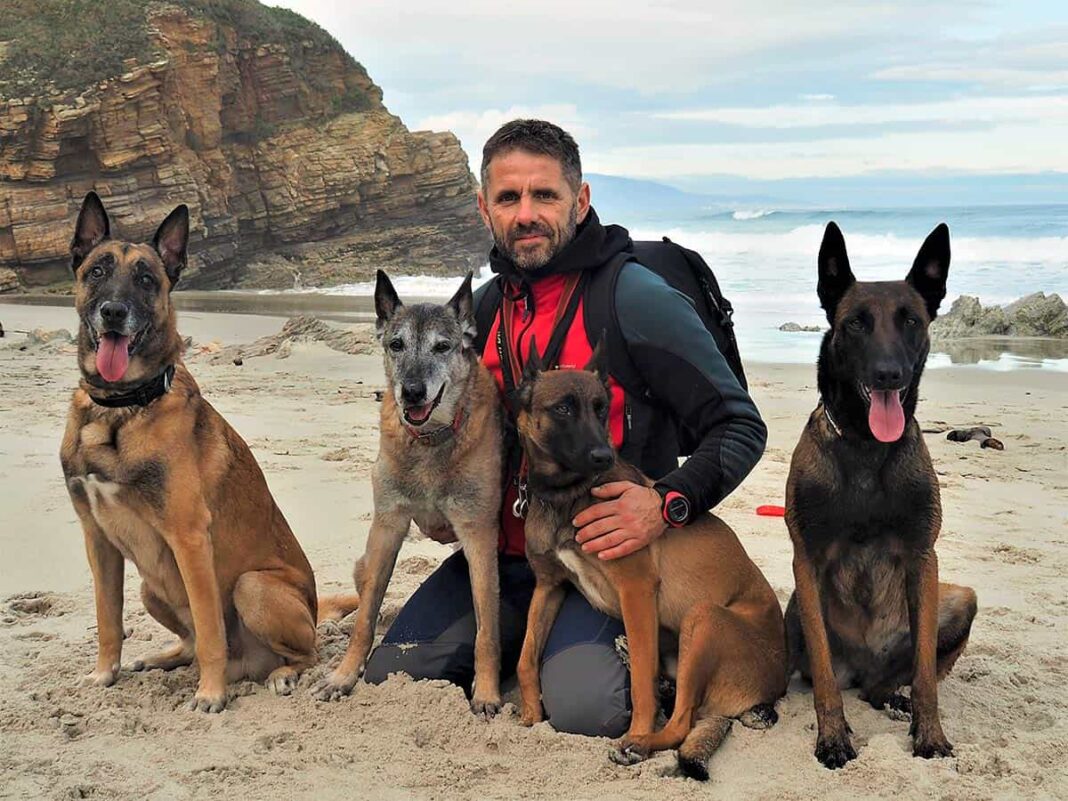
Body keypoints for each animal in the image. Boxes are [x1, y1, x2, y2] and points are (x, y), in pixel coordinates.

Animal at [60, 194, 356, 713]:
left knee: (305, 651)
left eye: (146, 279)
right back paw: (164, 657)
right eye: (97, 271)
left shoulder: (189, 538)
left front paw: (211, 694)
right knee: (190, 641)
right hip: (150, 588)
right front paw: (104, 674)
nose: (113, 312)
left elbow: (211, 629)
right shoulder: (97, 539)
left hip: (253, 586)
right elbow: (107, 620)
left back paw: (281, 674)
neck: (120, 408)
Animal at [311, 271, 504, 713]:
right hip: (365, 560)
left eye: (442, 346)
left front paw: (487, 692)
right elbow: (365, 619)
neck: (430, 440)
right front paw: (344, 676)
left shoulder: (479, 537)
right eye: (396, 345)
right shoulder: (387, 527)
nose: (412, 392)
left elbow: (487, 628)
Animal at [512, 341, 790, 781]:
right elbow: (525, 657)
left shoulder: (636, 590)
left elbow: (642, 683)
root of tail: (774, 688)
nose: (604, 456)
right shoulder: (549, 587)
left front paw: (637, 732)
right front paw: (529, 715)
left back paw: (642, 742)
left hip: (705, 618)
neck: (568, 496)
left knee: (681, 720)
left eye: (601, 407)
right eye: (563, 408)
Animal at [786, 221, 978, 773]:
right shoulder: (806, 563)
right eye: (855, 324)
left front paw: (930, 735)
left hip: (960, 599)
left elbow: (927, 676)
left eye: (911, 320)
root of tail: (863, 670)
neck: (867, 447)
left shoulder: (923, 559)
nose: (890, 373)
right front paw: (832, 737)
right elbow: (823, 679)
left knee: (894, 682)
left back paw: (894, 699)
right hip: (792, 608)